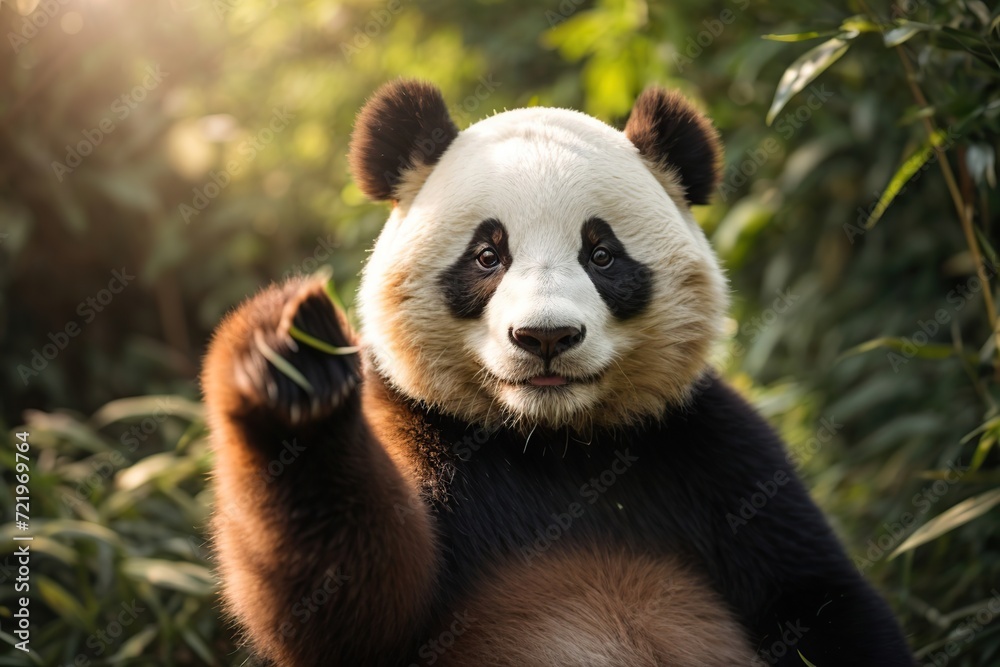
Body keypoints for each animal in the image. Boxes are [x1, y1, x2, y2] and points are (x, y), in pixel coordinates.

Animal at [201, 80, 915, 666]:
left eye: (602, 254)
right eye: (487, 255)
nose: (546, 336)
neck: (553, 442)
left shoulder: (713, 452)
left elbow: (820, 600)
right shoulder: (419, 430)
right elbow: (356, 610)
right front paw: (292, 363)